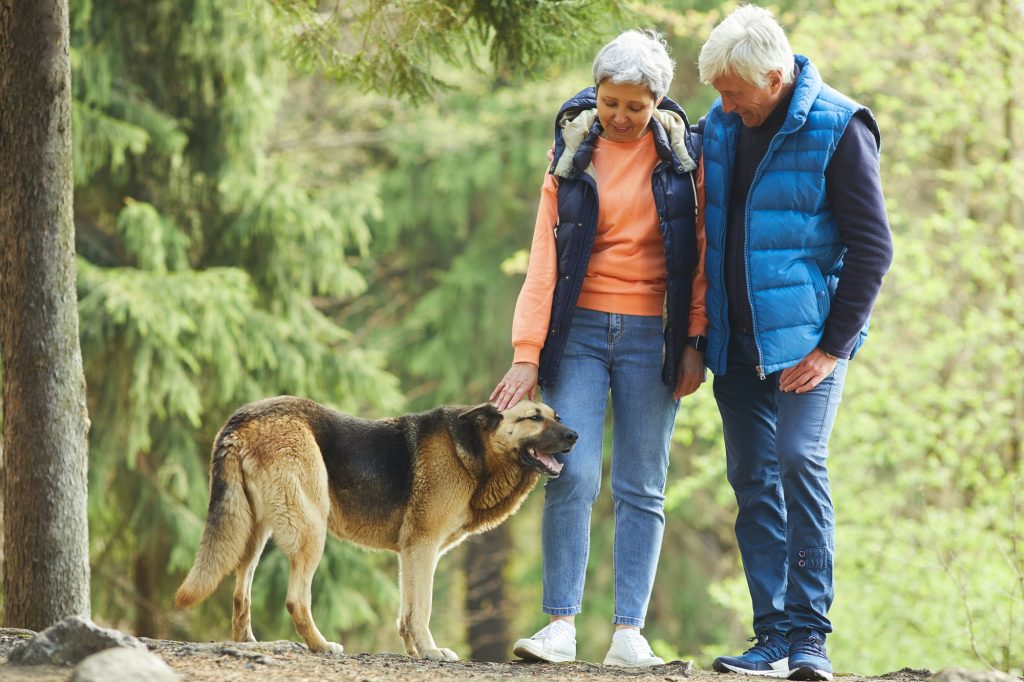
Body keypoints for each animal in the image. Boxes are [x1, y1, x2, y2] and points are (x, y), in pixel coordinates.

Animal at [175, 395, 577, 655]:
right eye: (533, 418)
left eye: (556, 416)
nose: (574, 435)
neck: (477, 448)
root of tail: (242, 417)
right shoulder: (423, 547)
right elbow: (422, 608)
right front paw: (430, 652)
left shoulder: (411, 553)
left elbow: (407, 610)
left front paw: (414, 653)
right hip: (310, 528)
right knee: (296, 600)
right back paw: (320, 645)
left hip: (254, 531)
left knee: (240, 594)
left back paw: (253, 644)